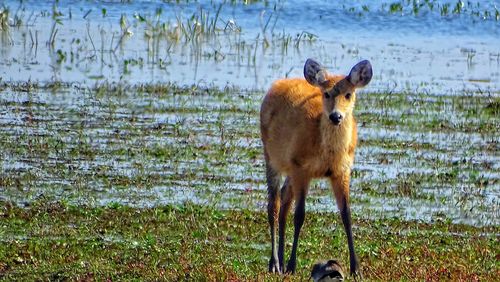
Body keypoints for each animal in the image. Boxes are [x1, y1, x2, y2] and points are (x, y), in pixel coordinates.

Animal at [262, 57, 372, 278]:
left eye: (348, 94)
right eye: (326, 93)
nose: (336, 116)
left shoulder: (341, 171)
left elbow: (347, 215)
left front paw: (357, 269)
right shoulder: (301, 167)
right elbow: (300, 215)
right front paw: (292, 265)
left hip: (289, 168)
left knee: (285, 200)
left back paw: (280, 260)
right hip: (271, 156)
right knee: (274, 206)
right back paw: (275, 263)